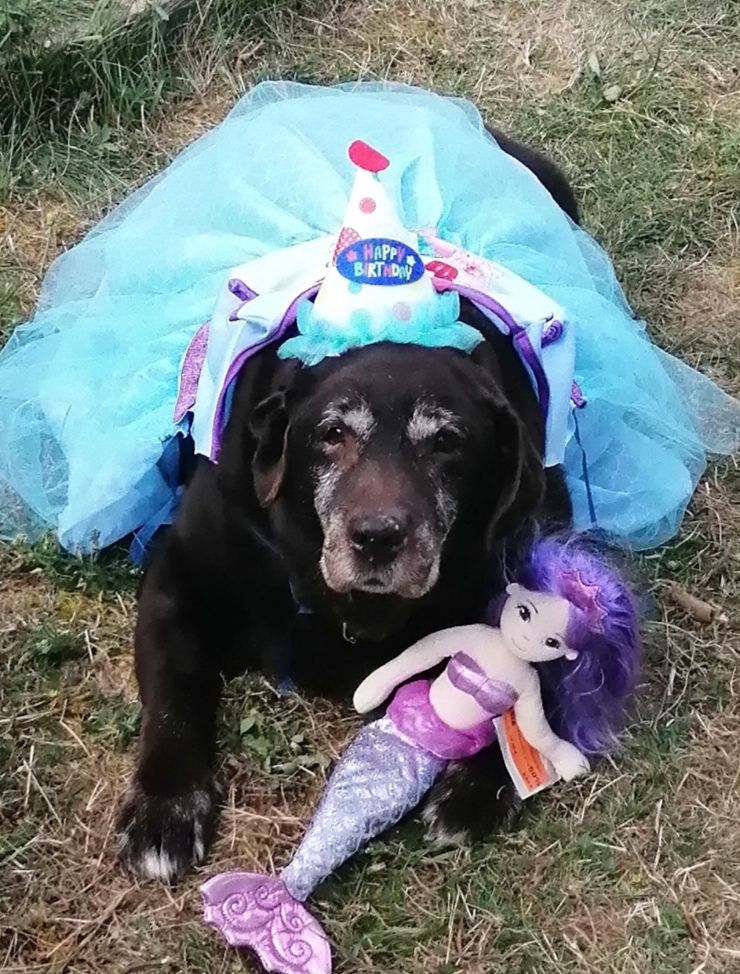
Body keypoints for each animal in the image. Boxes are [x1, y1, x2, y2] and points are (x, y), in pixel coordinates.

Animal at [117, 126, 580, 880]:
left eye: (447, 442)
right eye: (331, 433)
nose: (377, 537)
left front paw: (479, 787)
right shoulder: (179, 570)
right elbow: (175, 686)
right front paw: (165, 806)